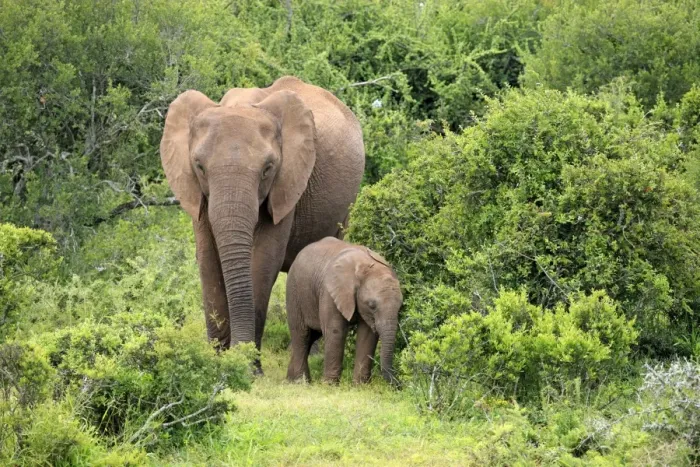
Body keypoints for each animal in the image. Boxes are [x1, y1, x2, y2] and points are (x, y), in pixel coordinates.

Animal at [160, 76, 365, 371]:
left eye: (268, 168)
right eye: (199, 167)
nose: (235, 352)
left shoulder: (288, 182)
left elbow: (264, 261)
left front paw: (247, 368)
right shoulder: (195, 192)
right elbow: (207, 260)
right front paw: (217, 363)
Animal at [285, 237, 403, 384]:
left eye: (400, 306)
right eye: (372, 305)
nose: (399, 385)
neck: (365, 266)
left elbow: (368, 335)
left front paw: (360, 386)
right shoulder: (329, 292)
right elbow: (336, 331)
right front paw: (329, 385)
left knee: (312, 336)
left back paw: (291, 380)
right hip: (294, 291)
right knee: (301, 334)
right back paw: (301, 382)